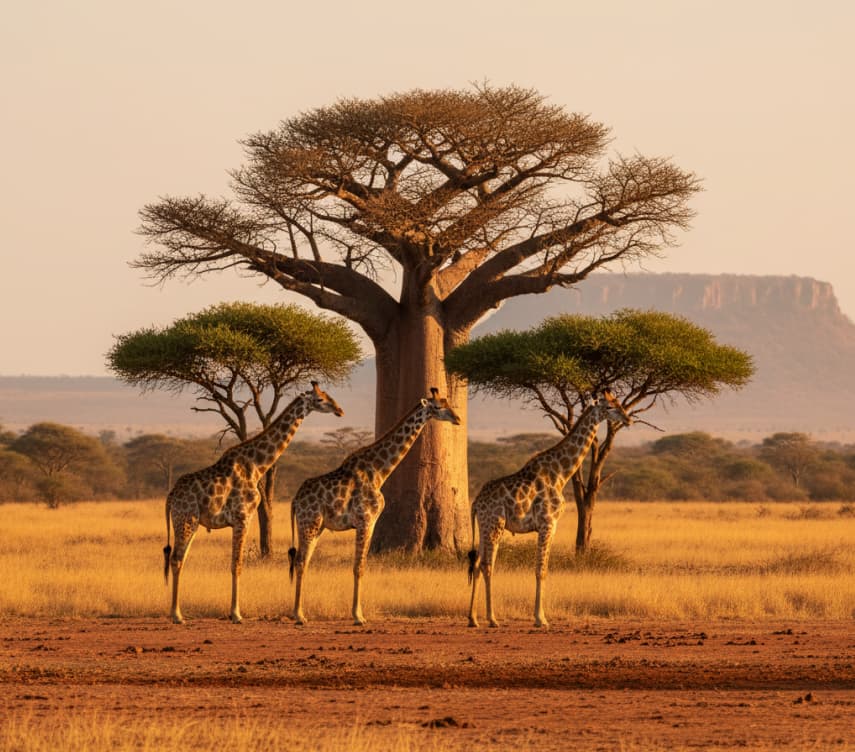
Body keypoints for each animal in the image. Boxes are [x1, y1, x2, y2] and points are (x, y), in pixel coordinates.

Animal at [162, 381, 344, 624]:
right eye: (321, 399)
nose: (339, 410)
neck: (257, 465)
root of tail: (171, 496)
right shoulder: (243, 516)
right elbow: (237, 564)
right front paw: (236, 614)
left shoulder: (241, 518)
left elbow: (235, 564)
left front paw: (235, 612)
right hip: (185, 520)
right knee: (175, 559)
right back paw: (176, 615)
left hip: (189, 522)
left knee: (180, 559)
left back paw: (179, 613)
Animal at [288, 388, 461, 626]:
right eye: (437, 406)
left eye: (447, 402)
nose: (458, 419)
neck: (379, 472)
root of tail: (295, 500)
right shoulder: (366, 520)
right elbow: (358, 566)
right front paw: (358, 616)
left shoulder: (370, 522)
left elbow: (362, 565)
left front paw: (359, 614)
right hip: (309, 523)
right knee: (300, 561)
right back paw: (298, 615)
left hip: (317, 527)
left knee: (303, 562)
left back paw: (301, 613)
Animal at [467, 391, 632, 629]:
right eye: (609, 406)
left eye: (618, 402)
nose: (628, 419)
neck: (561, 474)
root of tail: (476, 503)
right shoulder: (547, 523)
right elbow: (540, 570)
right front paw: (540, 618)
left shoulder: (552, 526)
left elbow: (544, 569)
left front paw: (541, 616)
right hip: (495, 524)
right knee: (488, 565)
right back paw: (492, 619)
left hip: (483, 527)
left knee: (478, 564)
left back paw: (472, 618)